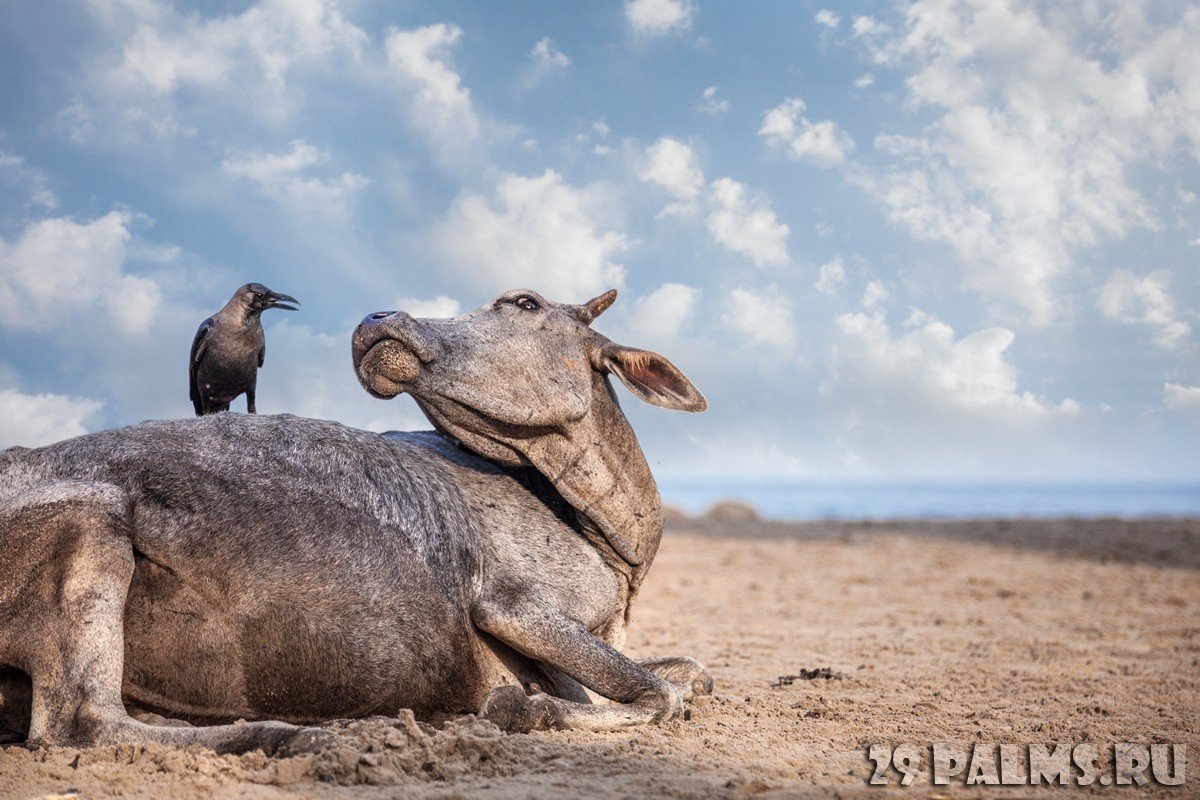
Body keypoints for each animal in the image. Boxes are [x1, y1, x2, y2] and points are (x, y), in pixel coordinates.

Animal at [0, 289, 710, 758]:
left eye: (525, 302)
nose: (378, 318)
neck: (604, 532)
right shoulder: (511, 606)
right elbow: (658, 695)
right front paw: (522, 707)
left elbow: (685, 672)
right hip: (94, 519)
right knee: (81, 721)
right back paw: (290, 734)